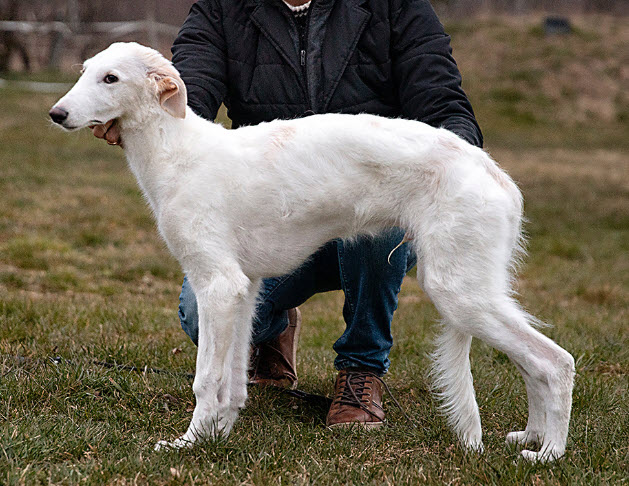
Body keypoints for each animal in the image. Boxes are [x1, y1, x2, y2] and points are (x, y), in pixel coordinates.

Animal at [50, 40, 576, 460]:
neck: (178, 151)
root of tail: (495, 175)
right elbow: (232, 383)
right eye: (85, 70)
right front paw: (218, 435)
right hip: (476, 289)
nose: (56, 114)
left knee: (556, 362)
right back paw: (530, 436)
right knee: (531, 365)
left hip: (458, 289)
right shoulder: (244, 289)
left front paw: (187, 444)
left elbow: (205, 381)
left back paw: (549, 454)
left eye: (111, 77)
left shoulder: (217, 285)